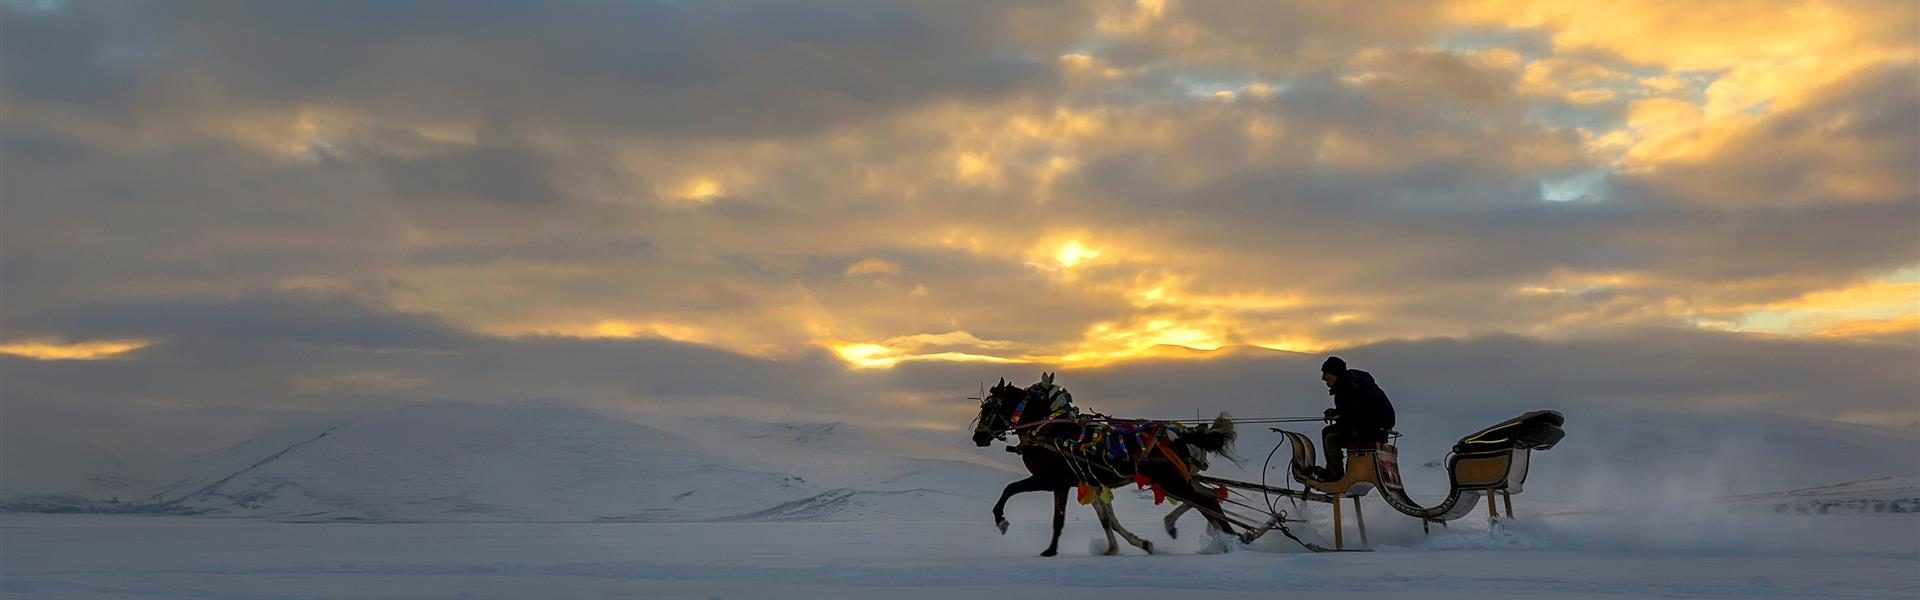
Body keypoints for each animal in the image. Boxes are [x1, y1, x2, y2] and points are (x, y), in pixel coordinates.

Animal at [975, 376, 1244, 553]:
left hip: (1173, 481)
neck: (1050, 430)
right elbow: (1107, 520)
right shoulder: (1085, 483)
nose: (978, 436)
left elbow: (1025, 499)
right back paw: (1230, 539)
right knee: (1208, 500)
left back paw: (1229, 540)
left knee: (1206, 502)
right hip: (1178, 479)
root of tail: (1182, 435)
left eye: (990, 407)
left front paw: (1010, 526)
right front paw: (1133, 544)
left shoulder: (1052, 481)